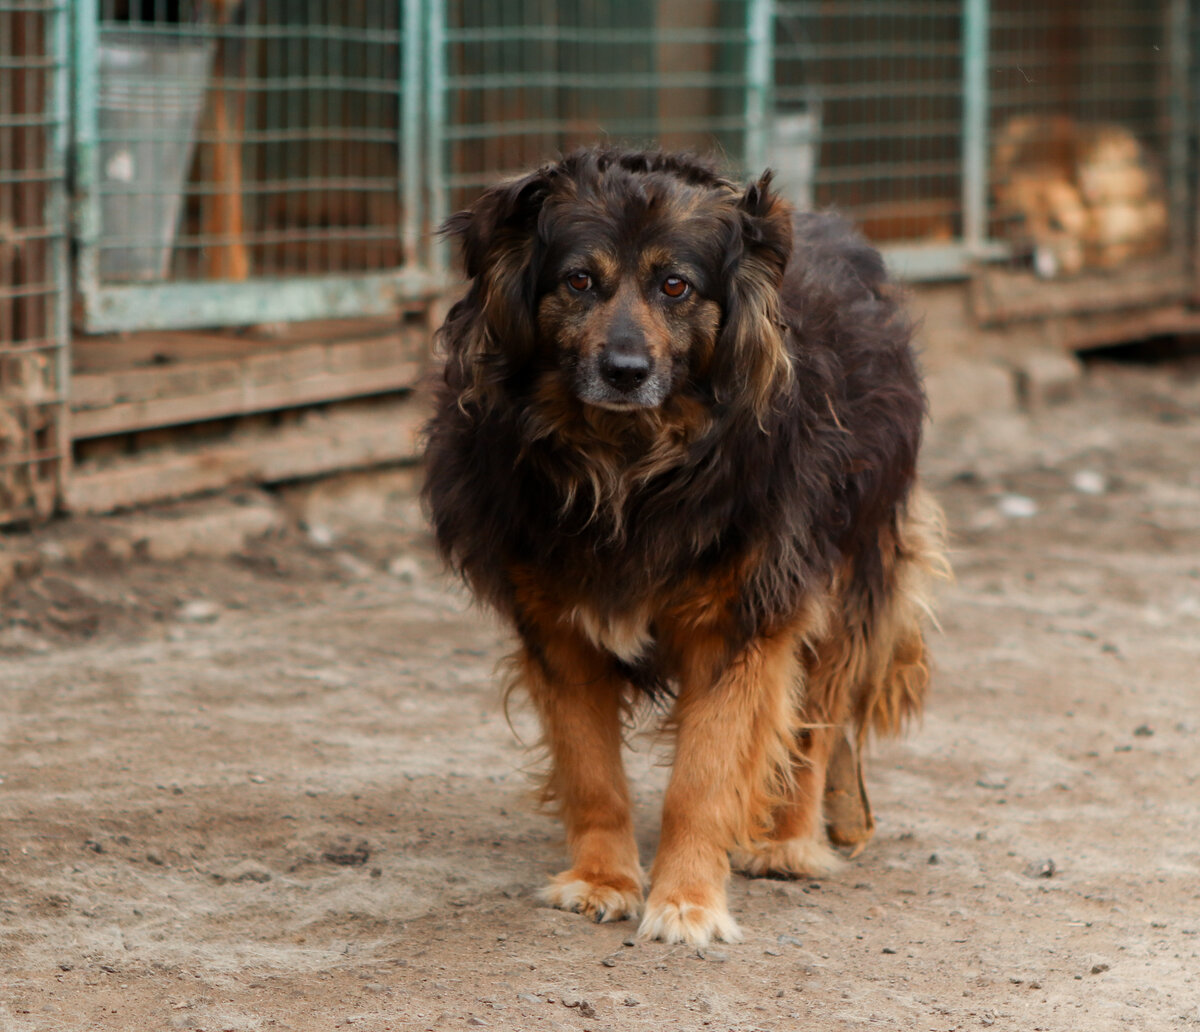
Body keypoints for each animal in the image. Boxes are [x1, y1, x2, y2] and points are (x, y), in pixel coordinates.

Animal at [422, 149, 945, 945]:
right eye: (579, 280)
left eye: (676, 286)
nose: (624, 372)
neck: (629, 465)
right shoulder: (557, 623)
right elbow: (592, 771)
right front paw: (602, 880)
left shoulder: (744, 620)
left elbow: (704, 776)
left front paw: (688, 902)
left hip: (847, 566)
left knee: (818, 716)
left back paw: (789, 841)